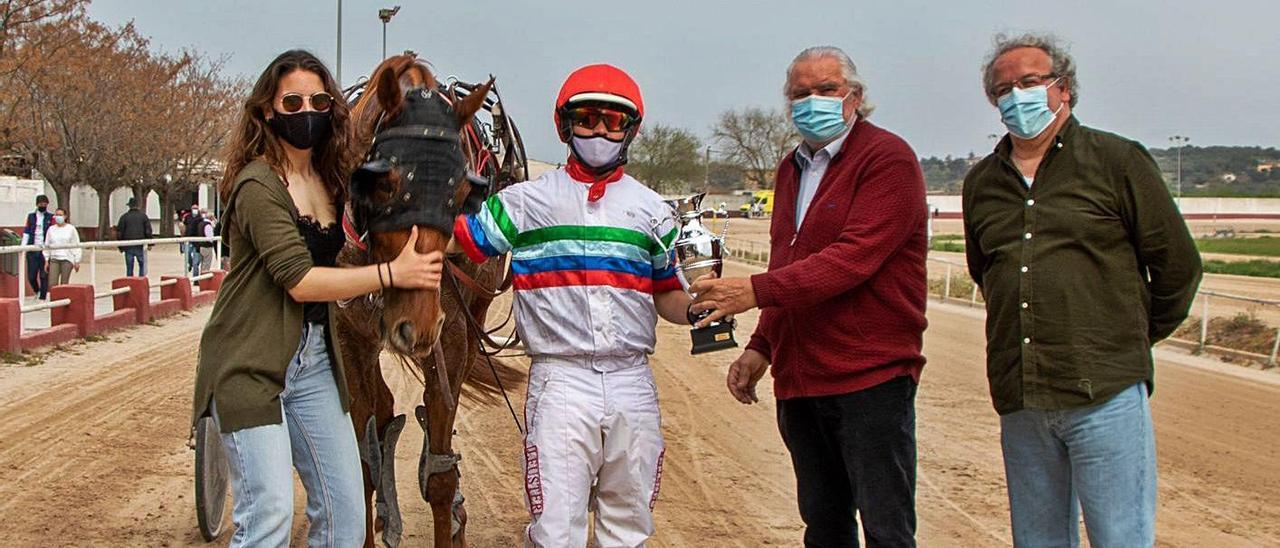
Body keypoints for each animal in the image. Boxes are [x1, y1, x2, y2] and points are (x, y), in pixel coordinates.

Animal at [335, 52, 529, 548]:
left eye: (462, 191)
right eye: (384, 184)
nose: (415, 327)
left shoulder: (451, 334)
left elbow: (441, 472)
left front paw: (449, 506)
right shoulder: (350, 333)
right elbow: (363, 461)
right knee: (383, 412)